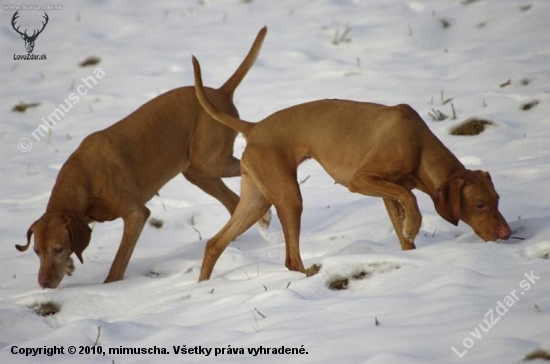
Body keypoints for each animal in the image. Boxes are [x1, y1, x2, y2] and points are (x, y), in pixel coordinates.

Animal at [20, 27, 270, 288]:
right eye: (37, 251)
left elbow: (118, 263)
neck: (82, 177)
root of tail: (220, 93)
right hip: (197, 172)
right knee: (233, 202)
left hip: (210, 162)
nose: (43, 283)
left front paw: (110, 286)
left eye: (58, 249)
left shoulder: (135, 214)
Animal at [193, 56, 512, 282]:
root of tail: (254, 126)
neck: (419, 145)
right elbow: (411, 200)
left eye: (497, 200)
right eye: (480, 205)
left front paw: (411, 254)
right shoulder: (361, 180)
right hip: (289, 197)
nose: (508, 233)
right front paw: (414, 226)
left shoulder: (388, 193)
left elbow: (403, 222)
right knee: (290, 259)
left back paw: (204, 287)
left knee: (214, 244)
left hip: (257, 202)